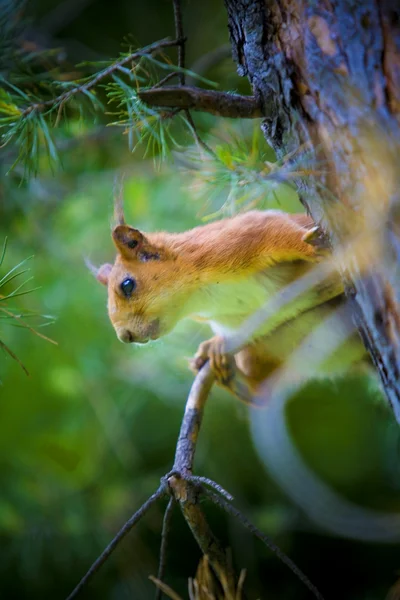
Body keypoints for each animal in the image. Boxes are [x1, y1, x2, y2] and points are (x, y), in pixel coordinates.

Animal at [94, 209, 366, 406]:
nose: (125, 336)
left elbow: (277, 231)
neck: (199, 297)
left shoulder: (236, 240)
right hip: (269, 349)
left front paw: (311, 246)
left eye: (127, 284)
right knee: (263, 391)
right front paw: (214, 345)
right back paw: (236, 380)